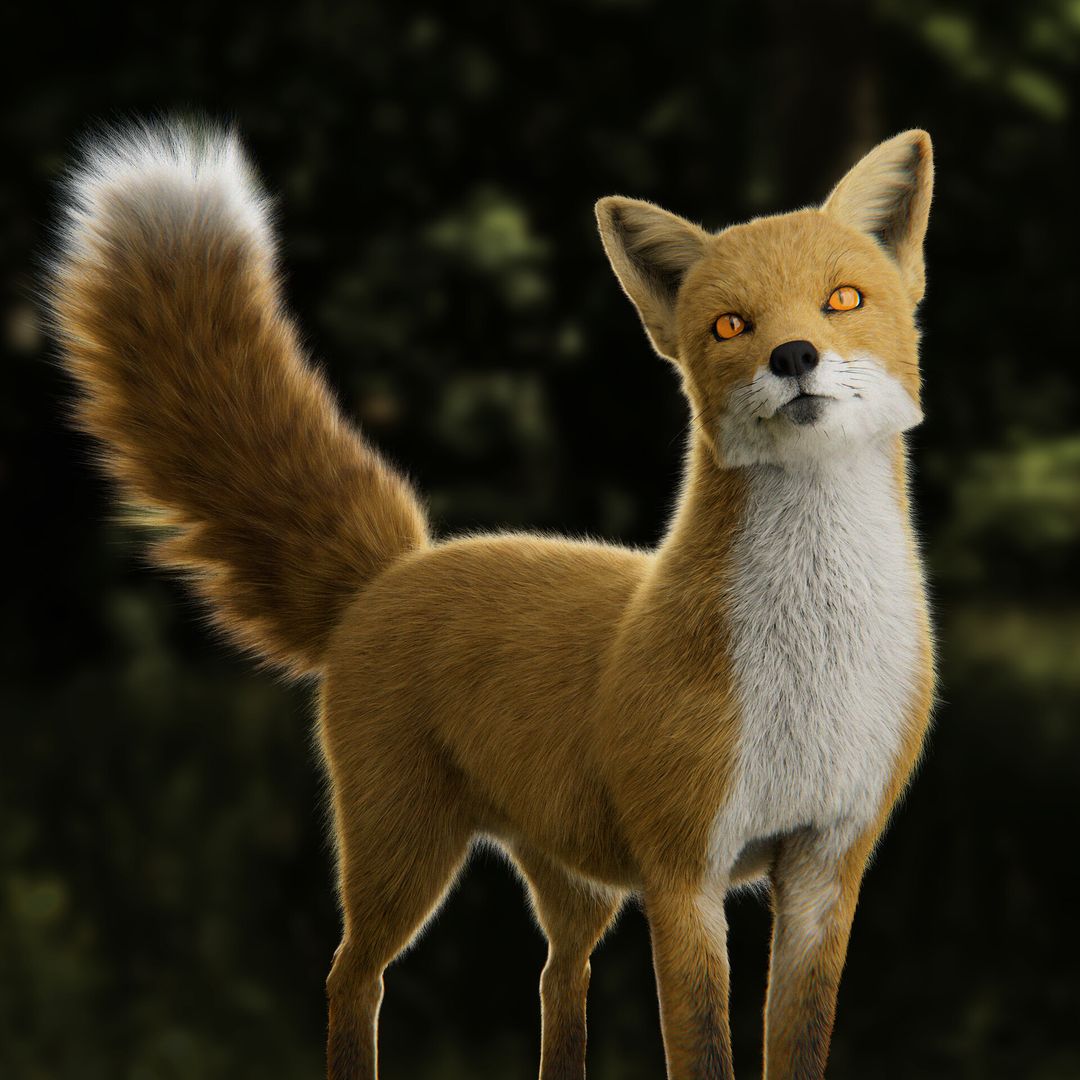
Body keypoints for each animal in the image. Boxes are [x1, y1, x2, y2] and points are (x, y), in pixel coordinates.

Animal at [49, 122, 936, 1079]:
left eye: (843, 300)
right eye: (731, 325)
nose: (794, 356)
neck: (812, 665)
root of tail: (391, 573)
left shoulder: (825, 869)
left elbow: (797, 1045)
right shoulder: (683, 873)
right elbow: (701, 1049)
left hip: (572, 883)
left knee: (556, 979)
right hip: (402, 853)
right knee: (350, 976)